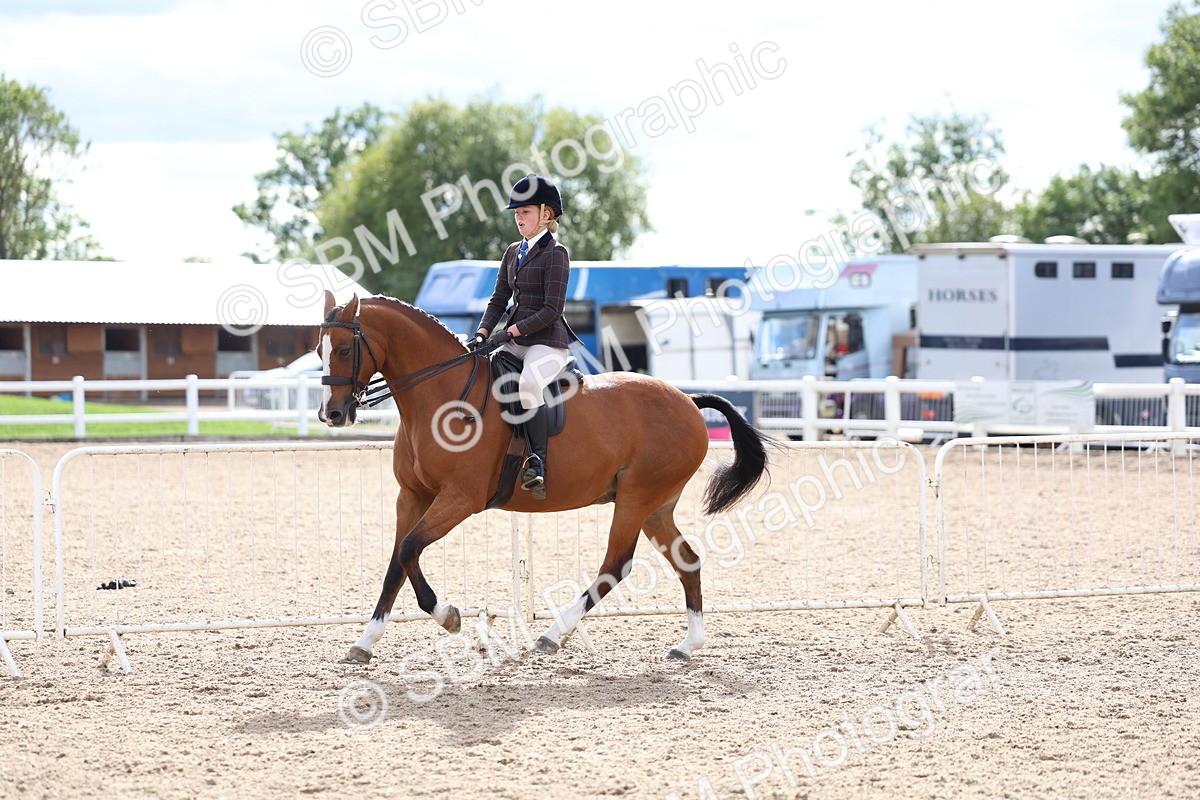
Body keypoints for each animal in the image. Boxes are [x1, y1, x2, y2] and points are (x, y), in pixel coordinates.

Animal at [317, 290, 770, 662]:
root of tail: (689, 401)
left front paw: (450, 617)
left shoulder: (460, 499)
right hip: (656, 506)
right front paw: (364, 643)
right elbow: (396, 563)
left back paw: (552, 635)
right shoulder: (412, 496)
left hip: (637, 498)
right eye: (318, 348)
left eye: (344, 349)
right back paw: (687, 645)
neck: (441, 396)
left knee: (616, 565)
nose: (332, 414)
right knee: (687, 561)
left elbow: (411, 549)